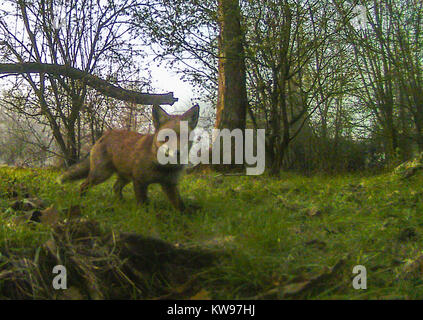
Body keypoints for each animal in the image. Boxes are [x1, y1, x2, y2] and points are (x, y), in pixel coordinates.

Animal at [57, 104, 200, 211]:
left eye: (185, 137)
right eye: (167, 137)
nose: (177, 153)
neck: (163, 167)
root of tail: (104, 136)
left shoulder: (169, 184)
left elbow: (180, 206)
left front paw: (185, 218)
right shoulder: (139, 181)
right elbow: (143, 205)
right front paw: (146, 217)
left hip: (125, 176)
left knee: (115, 187)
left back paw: (121, 203)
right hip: (101, 174)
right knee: (83, 185)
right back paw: (81, 199)